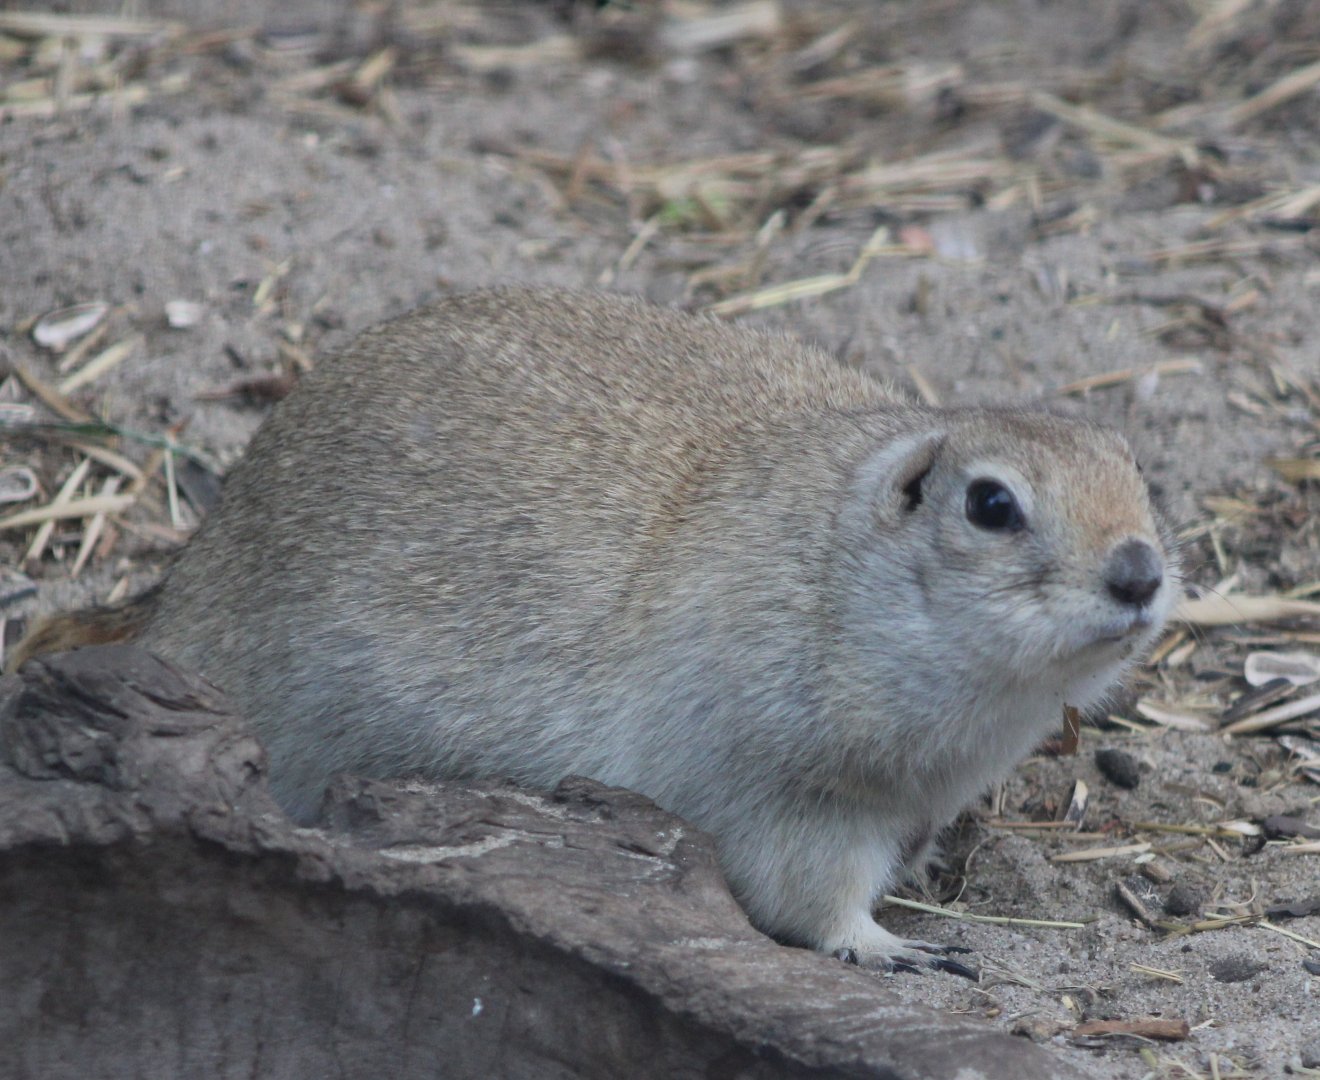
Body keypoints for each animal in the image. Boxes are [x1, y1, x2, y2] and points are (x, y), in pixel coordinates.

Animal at [10, 288, 1178, 972]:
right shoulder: (783, 781)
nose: (1141, 571)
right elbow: (811, 894)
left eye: (1136, 465)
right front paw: (893, 947)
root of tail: (182, 588)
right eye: (991, 504)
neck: (839, 572)